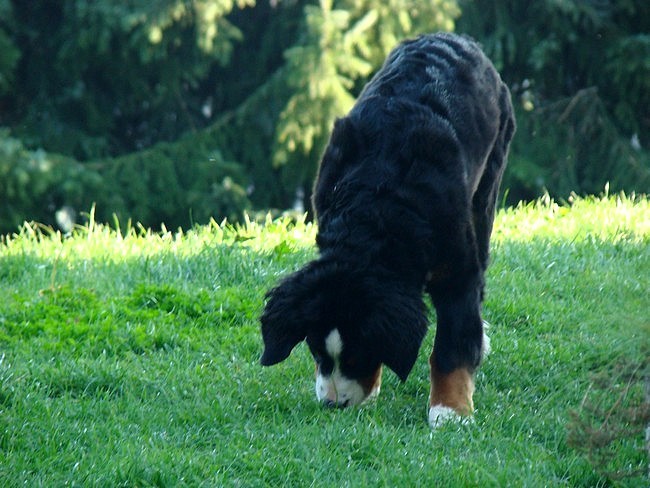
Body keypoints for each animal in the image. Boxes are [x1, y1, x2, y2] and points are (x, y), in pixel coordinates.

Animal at [256, 32, 512, 428]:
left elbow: (452, 343)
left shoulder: (456, 268)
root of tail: (453, 38)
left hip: (487, 184)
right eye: (316, 350)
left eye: (359, 354)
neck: (378, 205)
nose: (333, 404)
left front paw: (450, 410)